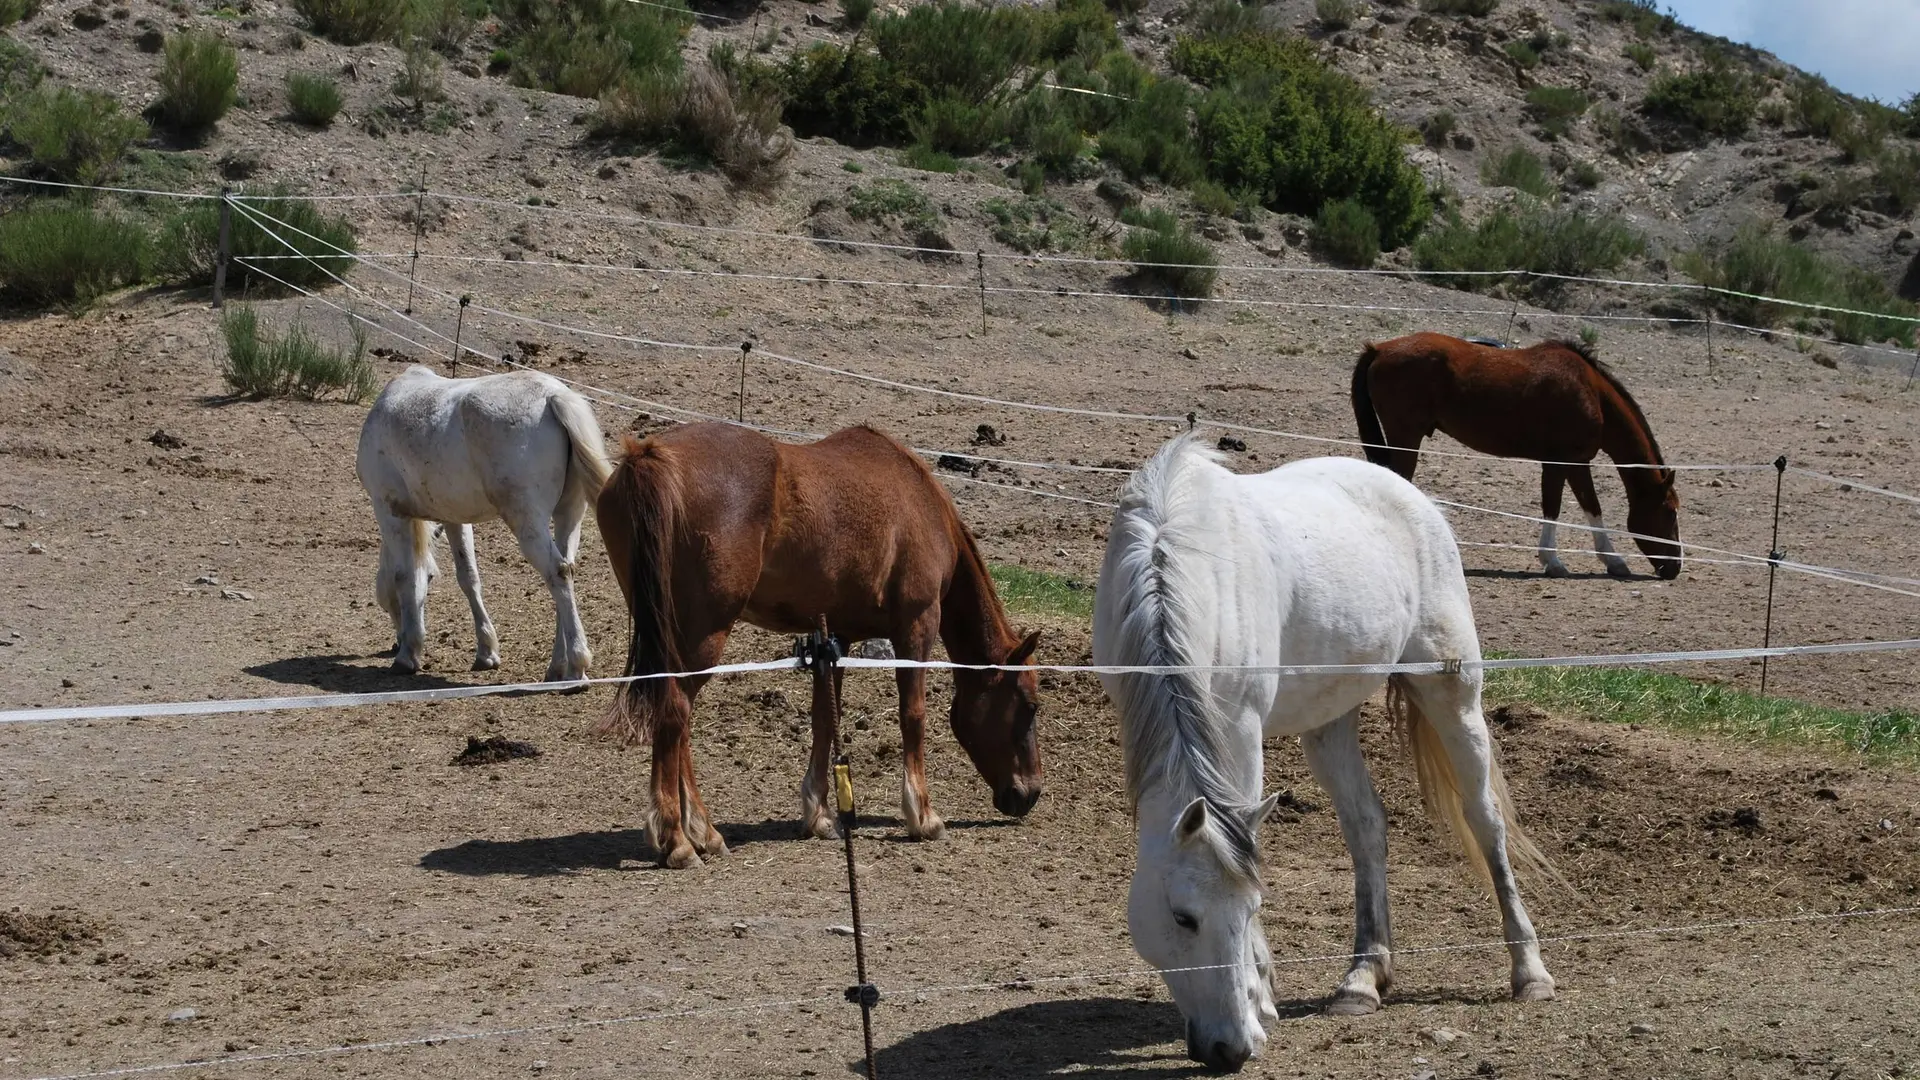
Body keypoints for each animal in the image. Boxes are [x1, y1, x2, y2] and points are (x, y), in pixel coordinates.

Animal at [356, 365, 611, 680]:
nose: (395, 643)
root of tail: (553, 395)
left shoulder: (389, 511)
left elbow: (405, 577)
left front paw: (408, 654)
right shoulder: (454, 519)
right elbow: (468, 578)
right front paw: (486, 652)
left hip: (528, 522)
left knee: (558, 573)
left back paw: (576, 667)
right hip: (568, 516)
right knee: (567, 571)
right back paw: (557, 666)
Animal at [595, 422, 1044, 869]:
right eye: (1030, 705)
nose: (1030, 793)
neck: (920, 502)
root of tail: (650, 457)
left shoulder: (834, 638)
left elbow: (825, 717)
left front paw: (820, 815)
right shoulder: (917, 625)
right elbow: (913, 716)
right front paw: (923, 816)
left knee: (678, 722)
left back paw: (703, 832)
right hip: (703, 637)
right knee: (674, 713)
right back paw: (677, 839)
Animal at [1093, 434, 1556, 1073]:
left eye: (1250, 909)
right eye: (1184, 917)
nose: (1230, 1050)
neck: (1174, 559)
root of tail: (1419, 501)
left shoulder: (1241, 727)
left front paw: (1261, 1004)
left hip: (1453, 696)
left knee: (1485, 822)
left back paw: (1529, 971)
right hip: (1330, 721)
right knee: (1367, 828)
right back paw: (1362, 979)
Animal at [1350, 332, 1682, 580]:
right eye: (1670, 511)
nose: (1675, 567)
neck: (1591, 392)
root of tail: (1379, 349)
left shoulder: (1576, 463)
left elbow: (1590, 507)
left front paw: (1612, 561)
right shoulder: (1560, 462)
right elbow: (1554, 507)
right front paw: (1554, 562)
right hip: (1406, 438)